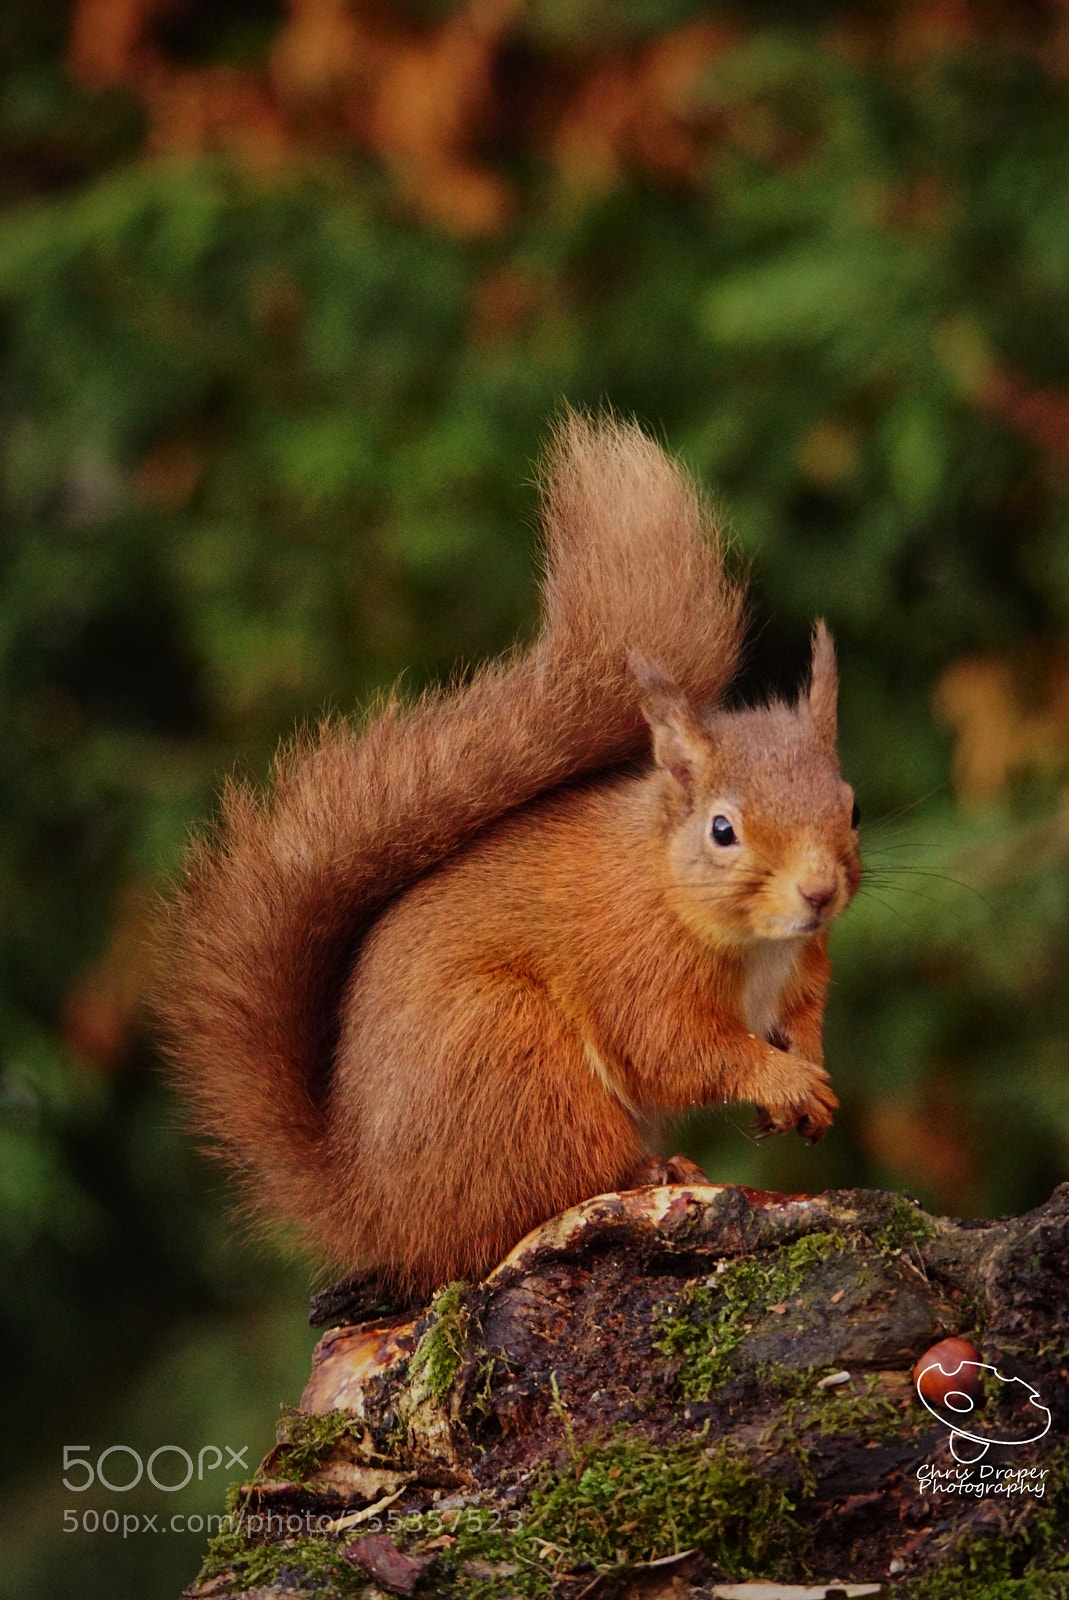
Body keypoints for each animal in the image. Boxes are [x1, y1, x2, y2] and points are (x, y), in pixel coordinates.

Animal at [157, 412, 862, 1300]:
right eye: (722, 830)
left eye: (852, 807)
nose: (818, 894)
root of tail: (384, 1214)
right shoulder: (637, 967)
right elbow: (678, 1049)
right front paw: (781, 1079)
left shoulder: (801, 977)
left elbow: (797, 1024)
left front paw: (810, 1079)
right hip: (513, 1061)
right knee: (547, 1189)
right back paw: (651, 1172)